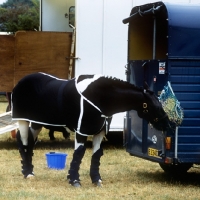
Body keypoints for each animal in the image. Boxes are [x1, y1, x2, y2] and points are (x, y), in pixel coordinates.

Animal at [11, 72, 170, 188]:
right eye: (154, 106)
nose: (168, 125)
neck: (98, 98)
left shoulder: (99, 132)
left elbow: (97, 154)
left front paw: (96, 180)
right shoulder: (81, 131)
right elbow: (78, 153)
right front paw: (74, 180)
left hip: (37, 123)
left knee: (30, 142)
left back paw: (29, 171)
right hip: (23, 120)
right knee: (23, 141)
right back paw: (28, 173)